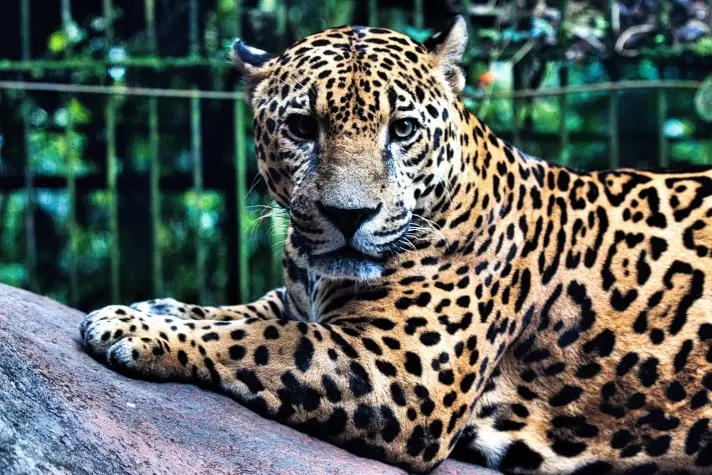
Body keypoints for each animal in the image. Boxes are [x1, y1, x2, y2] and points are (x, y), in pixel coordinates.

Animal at [79, 16, 712, 474]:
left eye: (402, 129)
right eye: (303, 127)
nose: (347, 215)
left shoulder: (403, 369)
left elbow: (264, 339)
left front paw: (134, 329)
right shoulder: (308, 302)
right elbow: (249, 311)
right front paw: (155, 308)